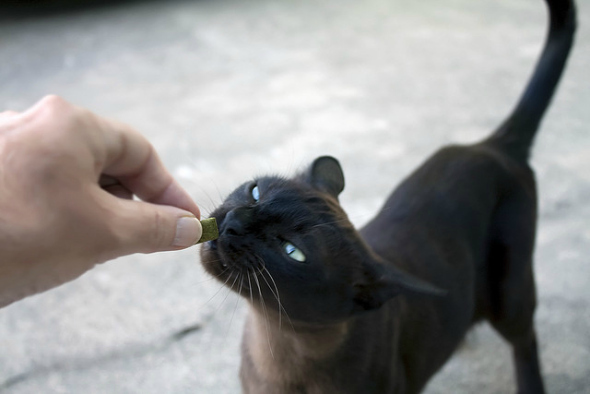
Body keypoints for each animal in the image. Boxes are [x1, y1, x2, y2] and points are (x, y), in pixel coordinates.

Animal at [199, 1, 580, 392]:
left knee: (525, 339)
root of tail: (491, 145)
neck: (278, 358)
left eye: (292, 252)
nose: (232, 223)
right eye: (255, 191)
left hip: (510, 295)